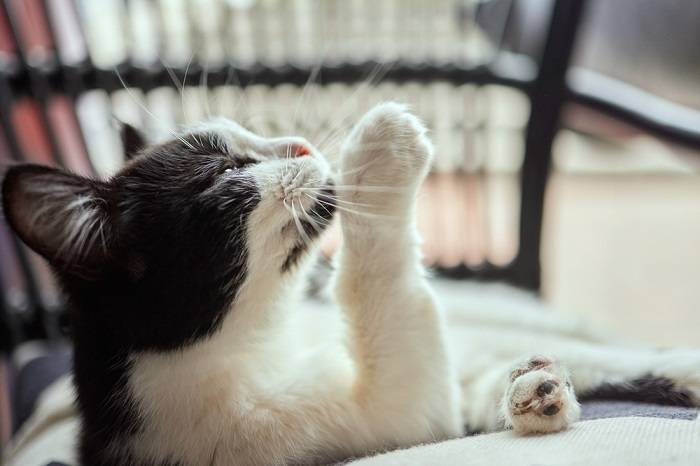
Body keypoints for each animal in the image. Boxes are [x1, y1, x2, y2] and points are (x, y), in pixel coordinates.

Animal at [1, 103, 700, 466]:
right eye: (224, 172)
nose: (302, 146)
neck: (270, 327)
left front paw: (541, 388)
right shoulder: (348, 424)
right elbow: (407, 351)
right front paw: (381, 152)